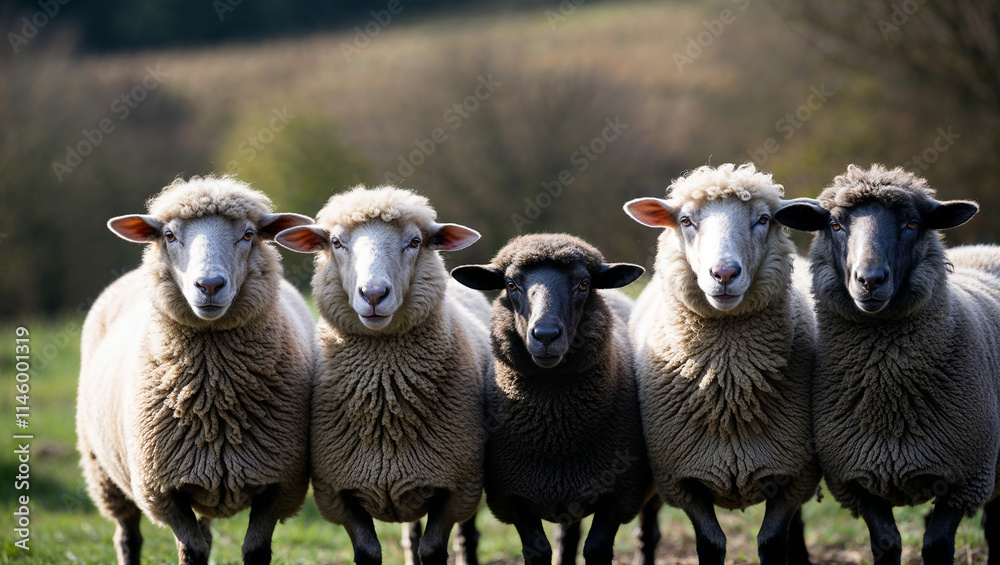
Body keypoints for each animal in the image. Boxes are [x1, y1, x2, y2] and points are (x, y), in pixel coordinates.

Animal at [76, 175, 316, 565]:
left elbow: (254, 550)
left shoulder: (279, 485)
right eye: (169, 235)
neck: (213, 396)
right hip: (104, 471)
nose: (209, 285)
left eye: (248, 234)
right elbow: (190, 551)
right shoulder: (162, 490)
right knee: (127, 536)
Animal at [273, 185, 490, 565]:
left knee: (468, 535)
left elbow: (433, 549)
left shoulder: (455, 489)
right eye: (336, 242)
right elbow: (369, 552)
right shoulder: (338, 494)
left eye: (415, 242)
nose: (373, 294)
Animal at [451, 233, 657, 565]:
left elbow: (597, 547)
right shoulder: (513, 496)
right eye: (511, 284)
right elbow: (538, 549)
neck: (556, 433)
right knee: (568, 536)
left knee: (648, 530)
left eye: (584, 284)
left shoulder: (619, 491)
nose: (545, 335)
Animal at [623, 162, 820, 565]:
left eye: (764, 219)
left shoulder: (794, 474)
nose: (725, 273)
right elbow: (711, 544)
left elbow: (773, 542)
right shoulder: (681, 478)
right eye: (685, 220)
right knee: (647, 528)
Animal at [774, 164, 1000, 565]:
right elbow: (887, 543)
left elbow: (937, 544)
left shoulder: (967, 480)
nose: (870, 280)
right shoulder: (856, 479)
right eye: (835, 224)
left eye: (912, 223)